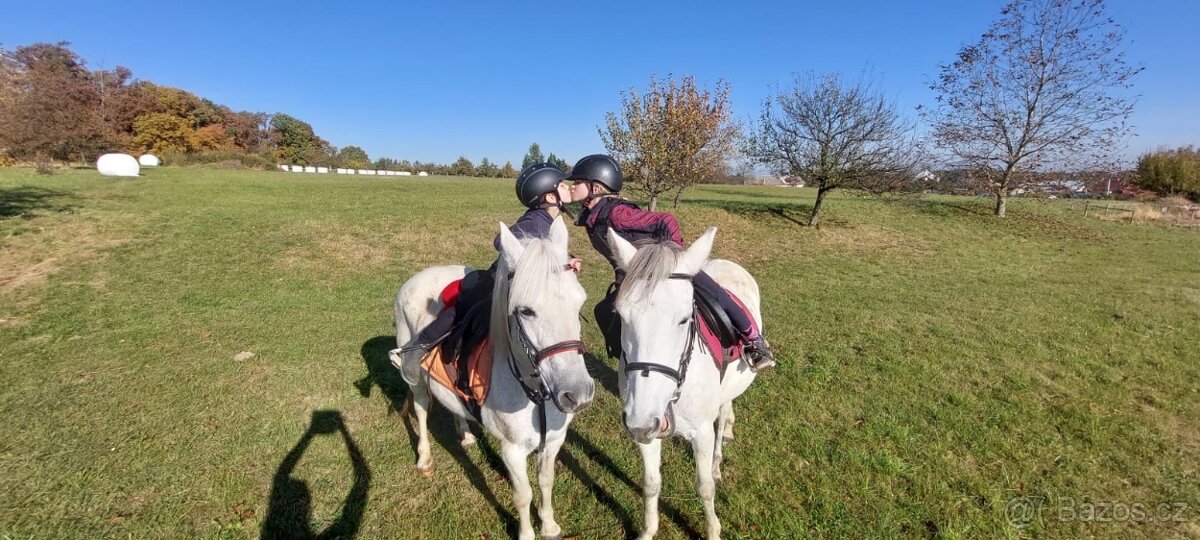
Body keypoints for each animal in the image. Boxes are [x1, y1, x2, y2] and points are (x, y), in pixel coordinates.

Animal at [389, 217, 595, 540]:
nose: (578, 394)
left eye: (580, 302)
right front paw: (527, 533)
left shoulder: (554, 442)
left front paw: (549, 526)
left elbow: (546, 482)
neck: (534, 393)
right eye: (526, 311)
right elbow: (522, 494)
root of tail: (421, 275)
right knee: (421, 410)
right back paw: (424, 459)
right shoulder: (512, 451)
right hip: (417, 379)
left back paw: (466, 436)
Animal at [606, 227, 761, 540]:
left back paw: (718, 457)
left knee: (723, 416)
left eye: (684, 319)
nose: (642, 418)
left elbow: (705, 487)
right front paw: (648, 530)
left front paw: (713, 530)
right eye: (621, 316)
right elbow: (651, 483)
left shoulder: (701, 433)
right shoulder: (646, 432)